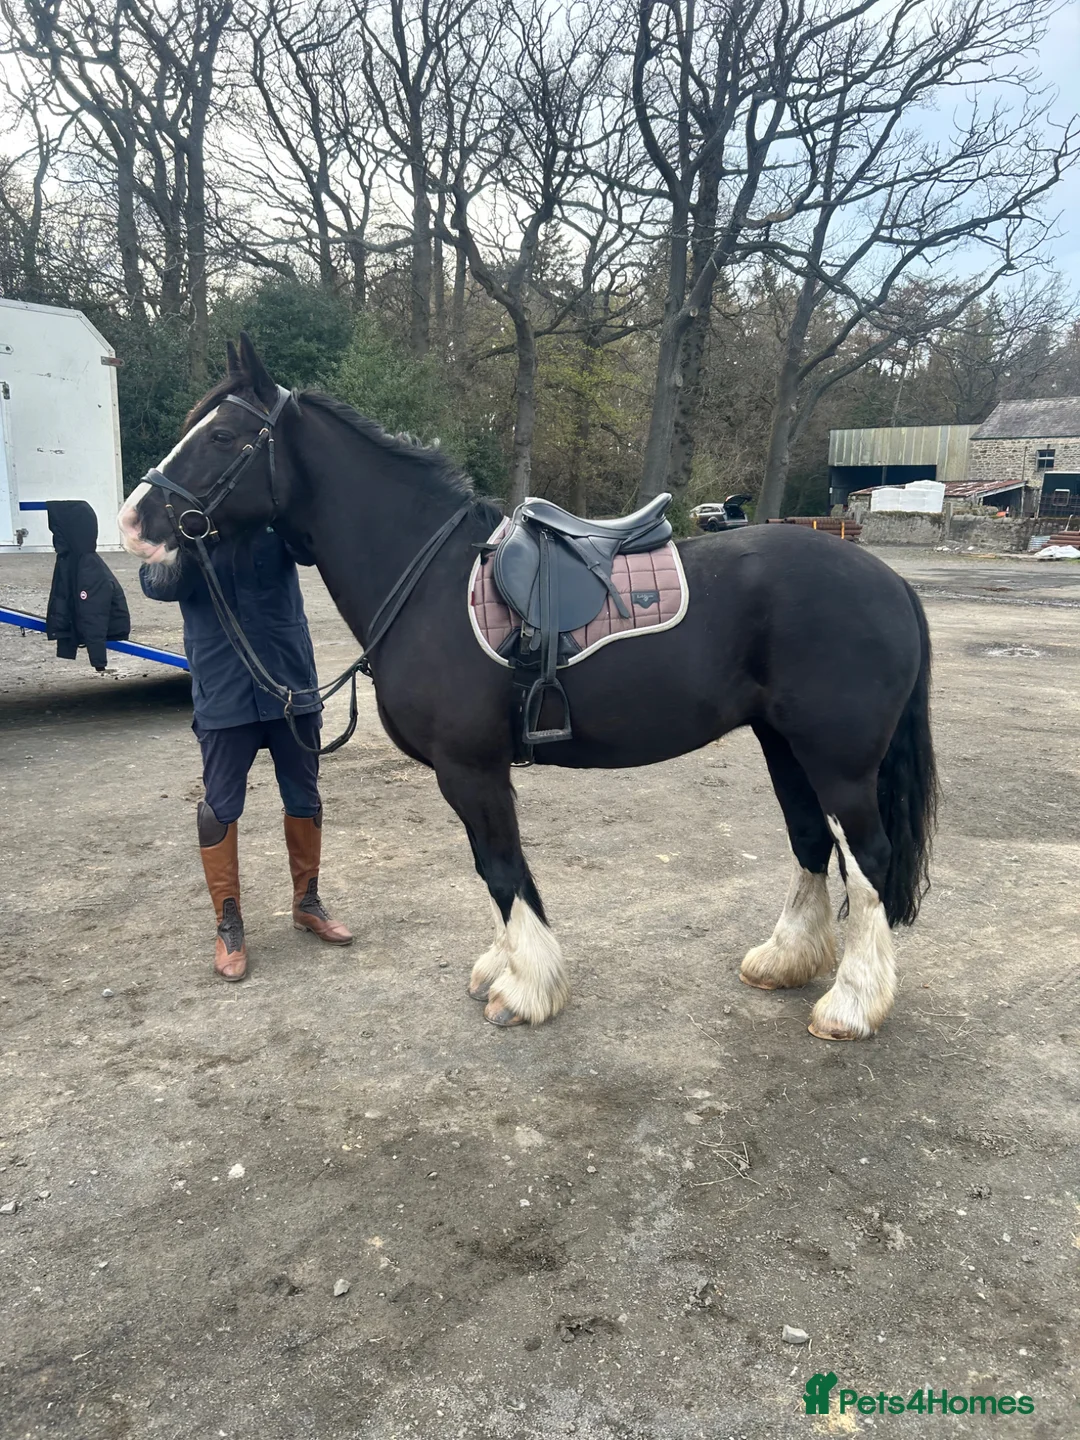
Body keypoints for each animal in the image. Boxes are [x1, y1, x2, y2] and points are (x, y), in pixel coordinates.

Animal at [119, 334, 938, 1041]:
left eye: (224, 436)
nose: (133, 520)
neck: (429, 580)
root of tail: (891, 583)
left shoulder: (470, 767)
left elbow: (500, 866)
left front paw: (527, 989)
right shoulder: (473, 771)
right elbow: (490, 868)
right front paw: (502, 968)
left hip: (838, 763)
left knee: (869, 861)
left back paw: (851, 1005)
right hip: (783, 746)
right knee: (811, 844)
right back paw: (786, 961)